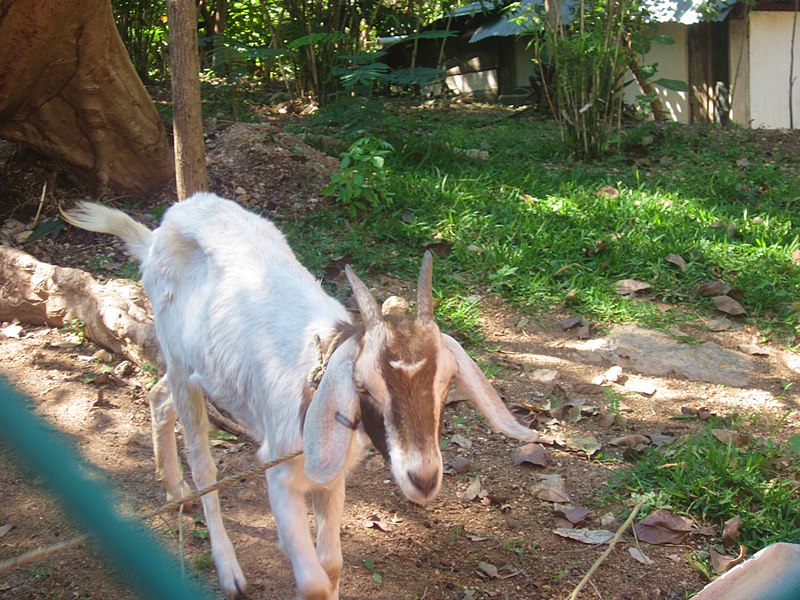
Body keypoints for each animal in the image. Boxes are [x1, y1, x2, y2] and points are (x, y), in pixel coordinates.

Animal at [62, 193, 536, 600]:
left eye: (446, 383)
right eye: (363, 386)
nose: (422, 478)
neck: (317, 378)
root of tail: (161, 231)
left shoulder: (333, 475)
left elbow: (332, 566)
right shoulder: (279, 475)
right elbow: (312, 582)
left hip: (192, 370)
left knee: (159, 397)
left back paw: (174, 490)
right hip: (180, 362)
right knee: (203, 464)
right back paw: (227, 567)